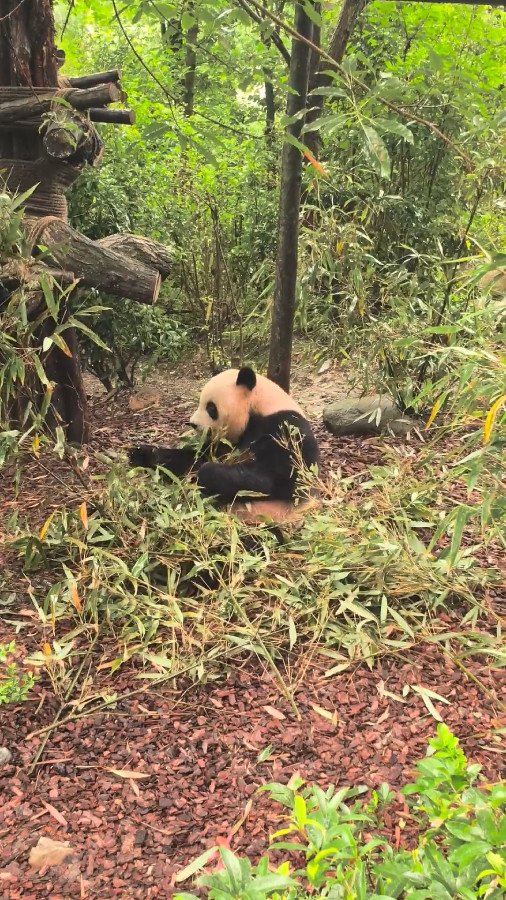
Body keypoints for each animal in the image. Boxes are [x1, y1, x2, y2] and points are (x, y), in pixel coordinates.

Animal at [128, 366, 320, 524]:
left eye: (211, 408)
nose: (193, 424)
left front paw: (206, 474)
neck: (257, 407)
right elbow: (194, 459)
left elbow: (276, 478)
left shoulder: (285, 428)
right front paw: (140, 453)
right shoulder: (225, 443)